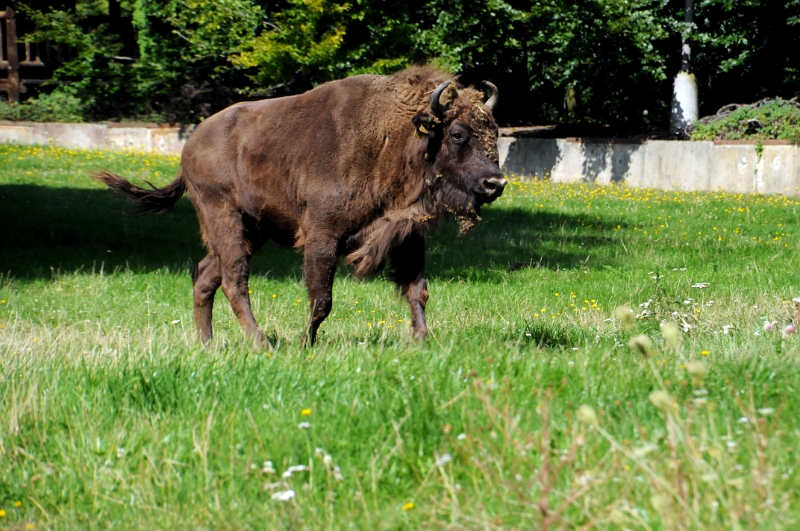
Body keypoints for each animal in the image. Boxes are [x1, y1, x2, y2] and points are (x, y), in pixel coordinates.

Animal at [94, 66, 506, 348]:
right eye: (457, 134)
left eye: (494, 132)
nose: (495, 183)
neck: (395, 136)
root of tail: (190, 145)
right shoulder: (322, 234)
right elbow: (322, 297)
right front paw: (306, 342)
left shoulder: (406, 233)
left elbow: (417, 289)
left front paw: (423, 340)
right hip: (224, 217)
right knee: (233, 279)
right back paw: (260, 343)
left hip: (253, 229)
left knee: (206, 275)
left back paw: (208, 343)